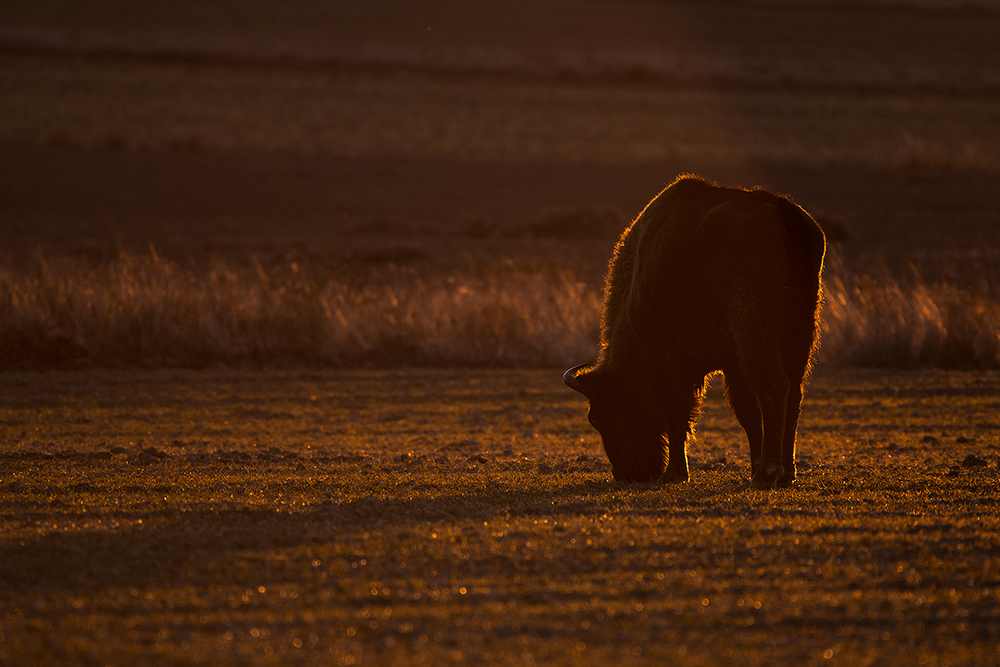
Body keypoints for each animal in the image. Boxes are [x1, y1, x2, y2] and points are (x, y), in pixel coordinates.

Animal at [568, 176, 824, 490]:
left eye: (597, 418)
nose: (626, 474)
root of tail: (782, 214)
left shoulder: (668, 358)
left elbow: (678, 412)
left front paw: (675, 473)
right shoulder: (732, 365)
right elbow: (748, 414)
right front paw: (751, 466)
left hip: (756, 334)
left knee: (775, 387)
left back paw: (767, 474)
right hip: (800, 335)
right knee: (794, 394)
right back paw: (785, 473)